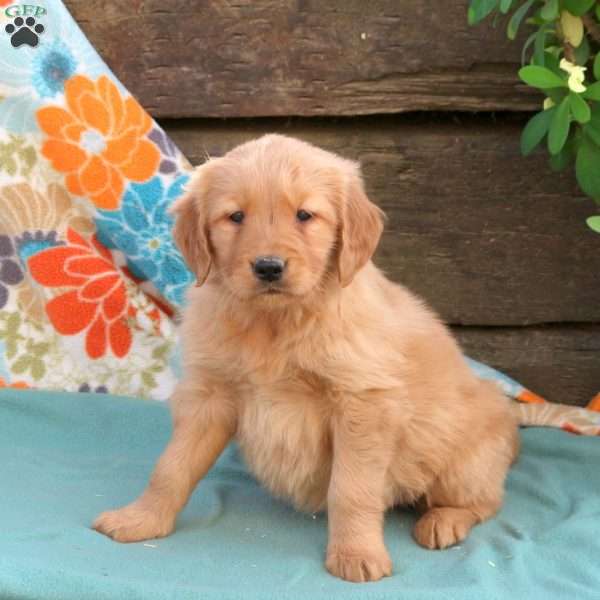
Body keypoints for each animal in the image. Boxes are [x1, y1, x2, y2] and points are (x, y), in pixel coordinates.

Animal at [94, 135, 520, 580]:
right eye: (235, 216)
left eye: (304, 215)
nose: (268, 267)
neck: (276, 322)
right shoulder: (210, 396)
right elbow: (171, 467)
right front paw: (141, 519)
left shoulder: (362, 404)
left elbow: (351, 489)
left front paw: (356, 553)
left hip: (462, 461)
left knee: (485, 501)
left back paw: (444, 520)